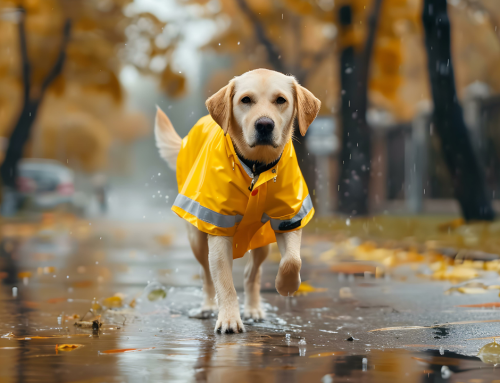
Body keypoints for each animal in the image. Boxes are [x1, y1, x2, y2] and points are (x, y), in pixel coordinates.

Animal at [154, 70, 322, 334]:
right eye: (246, 100)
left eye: (281, 100)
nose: (264, 124)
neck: (256, 168)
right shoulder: (218, 227)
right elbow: (224, 283)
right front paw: (229, 319)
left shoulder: (289, 218)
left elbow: (292, 261)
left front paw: (286, 285)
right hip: (197, 238)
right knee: (206, 275)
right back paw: (207, 307)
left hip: (262, 245)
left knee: (252, 275)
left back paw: (254, 309)